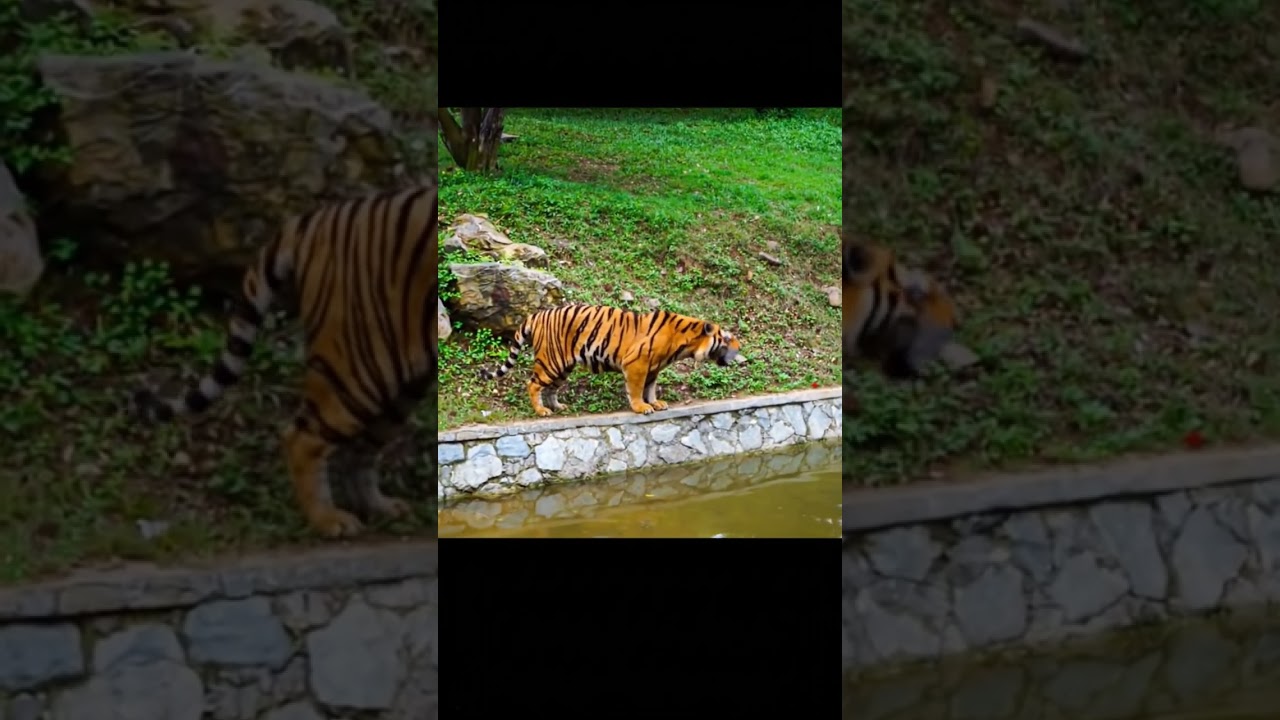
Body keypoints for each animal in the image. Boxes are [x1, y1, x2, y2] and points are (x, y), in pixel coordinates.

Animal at [132, 183, 438, 538]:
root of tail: (314, 218)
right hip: (360, 365)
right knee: (302, 439)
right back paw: (329, 521)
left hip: (399, 385)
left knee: (360, 450)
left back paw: (381, 508)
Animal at [479, 303, 746, 417]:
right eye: (727, 338)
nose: (740, 346)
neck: (684, 343)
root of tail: (535, 315)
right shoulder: (637, 364)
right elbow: (637, 389)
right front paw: (641, 407)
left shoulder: (653, 368)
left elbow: (651, 388)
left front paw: (656, 402)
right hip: (551, 360)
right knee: (533, 384)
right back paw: (542, 410)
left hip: (564, 365)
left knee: (551, 388)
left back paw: (557, 406)